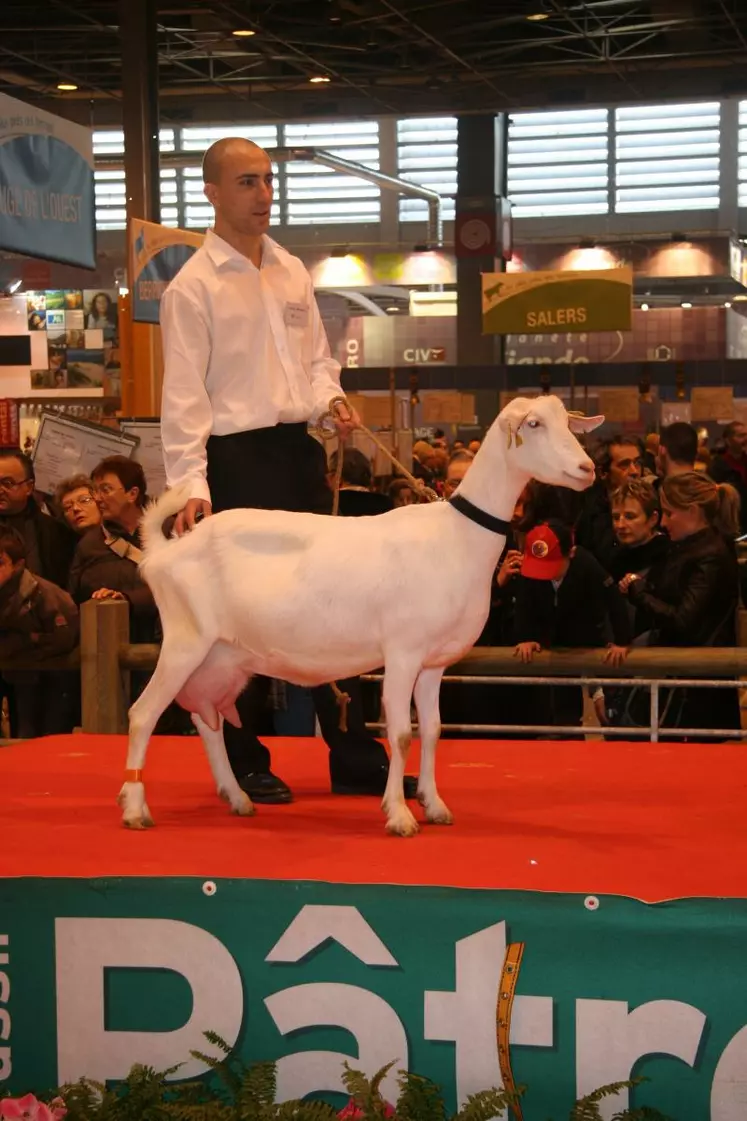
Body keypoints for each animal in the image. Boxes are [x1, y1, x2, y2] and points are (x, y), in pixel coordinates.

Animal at [120, 394, 601, 834]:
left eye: (568, 423)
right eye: (534, 424)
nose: (587, 470)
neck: (456, 536)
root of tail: (165, 549)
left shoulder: (434, 663)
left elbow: (433, 730)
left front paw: (434, 805)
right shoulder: (403, 653)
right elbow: (402, 734)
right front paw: (400, 815)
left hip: (222, 656)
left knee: (208, 718)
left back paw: (237, 796)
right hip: (185, 641)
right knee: (144, 714)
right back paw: (135, 808)